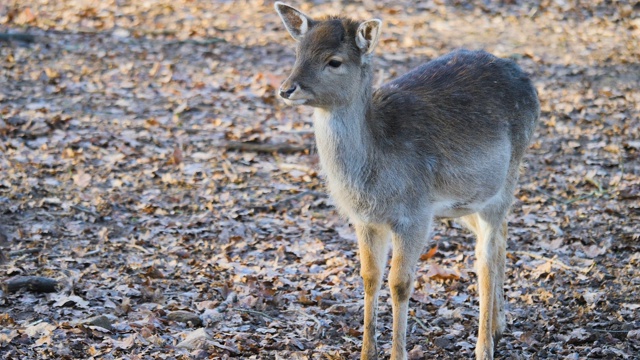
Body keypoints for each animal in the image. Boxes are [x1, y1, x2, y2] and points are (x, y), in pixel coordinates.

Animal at [276, 3, 540, 360]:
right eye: (298, 52)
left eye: (334, 61)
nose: (286, 89)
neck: (373, 178)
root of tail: (529, 83)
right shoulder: (367, 220)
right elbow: (369, 276)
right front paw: (366, 352)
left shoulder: (414, 214)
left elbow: (400, 283)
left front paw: (396, 353)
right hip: (467, 200)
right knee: (500, 239)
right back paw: (499, 325)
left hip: (504, 181)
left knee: (485, 257)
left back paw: (484, 346)